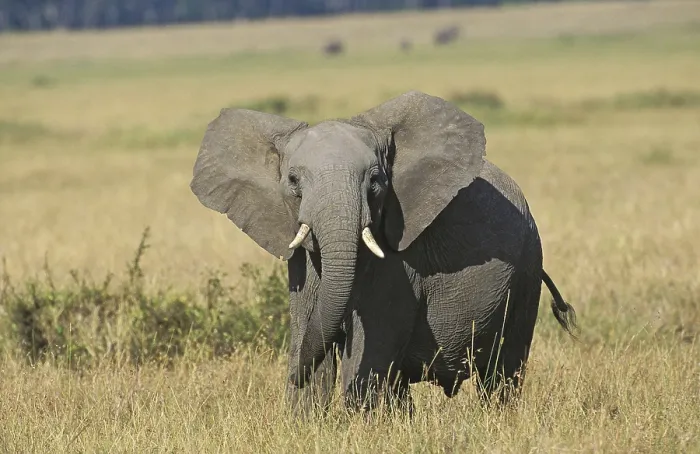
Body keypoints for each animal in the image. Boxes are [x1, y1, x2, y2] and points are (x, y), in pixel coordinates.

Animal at [189, 90, 577, 415]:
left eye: (375, 181)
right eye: (293, 181)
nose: (293, 374)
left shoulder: (400, 263)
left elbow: (370, 354)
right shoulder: (302, 265)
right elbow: (311, 338)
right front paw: (306, 418)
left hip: (526, 271)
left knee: (502, 371)